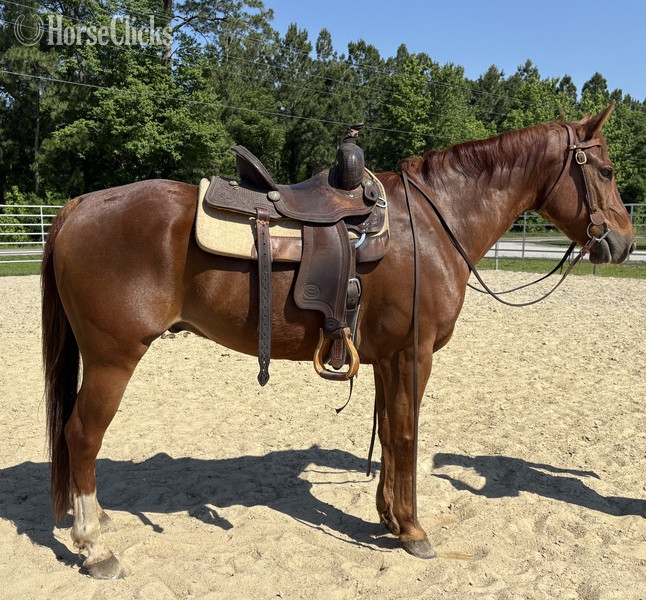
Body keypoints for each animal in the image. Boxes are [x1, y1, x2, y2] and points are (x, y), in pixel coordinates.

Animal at [41, 104, 636, 578]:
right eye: (606, 170)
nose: (625, 243)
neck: (433, 223)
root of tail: (76, 207)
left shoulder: (386, 359)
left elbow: (389, 432)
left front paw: (389, 518)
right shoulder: (413, 355)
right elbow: (406, 435)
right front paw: (413, 530)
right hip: (112, 359)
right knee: (81, 435)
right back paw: (93, 546)